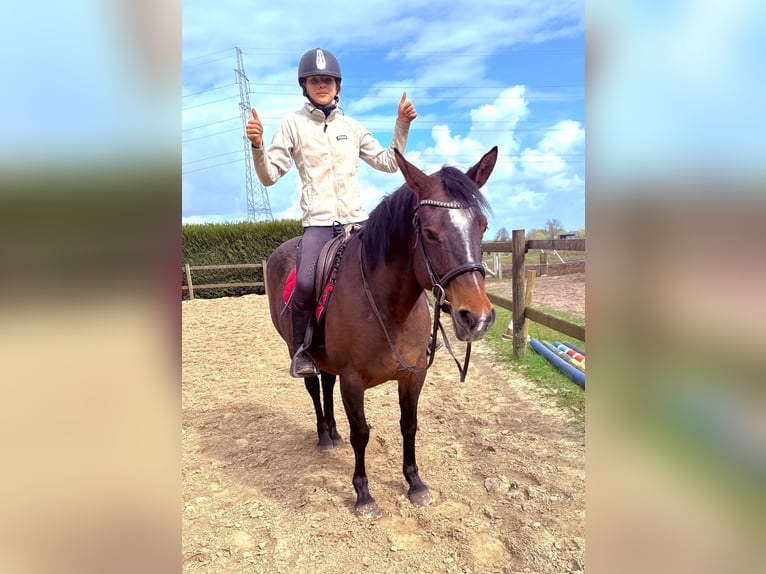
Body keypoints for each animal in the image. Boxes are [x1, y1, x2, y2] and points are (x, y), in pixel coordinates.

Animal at [266, 146, 498, 518]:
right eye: (429, 232)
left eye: (482, 226)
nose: (476, 317)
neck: (388, 307)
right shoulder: (352, 380)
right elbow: (361, 432)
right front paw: (363, 494)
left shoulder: (413, 375)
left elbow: (409, 425)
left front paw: (415, 484)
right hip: (297, 350)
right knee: (315, 388)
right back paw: (323, 434)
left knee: (326, 385)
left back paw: (333, 433)